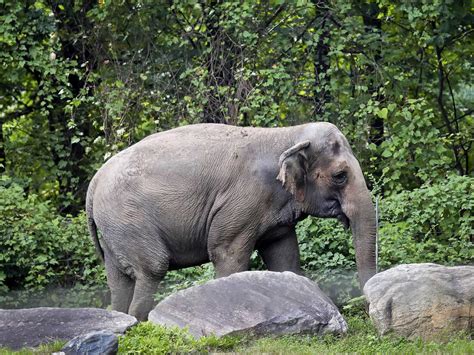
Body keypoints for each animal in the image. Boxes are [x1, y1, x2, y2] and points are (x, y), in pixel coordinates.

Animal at [84, 124, 374, 322]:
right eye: (340, 176)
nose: (364, 308)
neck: (287, 135)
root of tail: (94, 183)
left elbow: (285, 257)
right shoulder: (242, 202)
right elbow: (227, 254)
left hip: (114, 229)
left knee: (118, 280)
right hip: (129, 219)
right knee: (152, 268)